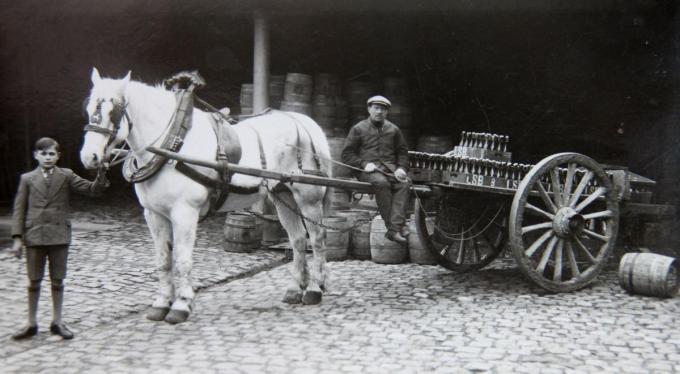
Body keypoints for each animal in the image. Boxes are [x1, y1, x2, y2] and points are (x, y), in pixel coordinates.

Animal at [79, 68, 332, 324]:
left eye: (114, 111)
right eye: (89, 108)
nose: (89, 157)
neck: (172, 144)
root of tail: (307, 122)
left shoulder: (184, 213)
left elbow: (182, 261)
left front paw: (181, 305)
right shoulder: (154, 215)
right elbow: (163, 260)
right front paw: (161, 304)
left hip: (308, 198)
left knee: (317, 239)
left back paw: (314, 289)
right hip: (283, 196)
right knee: (298, 239)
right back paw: (294, 289)